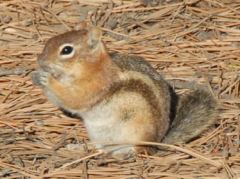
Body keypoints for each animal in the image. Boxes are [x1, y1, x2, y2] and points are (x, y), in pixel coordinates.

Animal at [31, 25, 217, 157]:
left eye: (66, 50)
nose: (40, 60)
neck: (93, 67)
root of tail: (158, 142)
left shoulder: (94, 86)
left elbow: (73, 99)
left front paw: (47, 79)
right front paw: (36, 76)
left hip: (135, 134)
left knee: (139, 151)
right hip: (99, 135)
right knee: (101, 148)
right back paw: (78, 147)